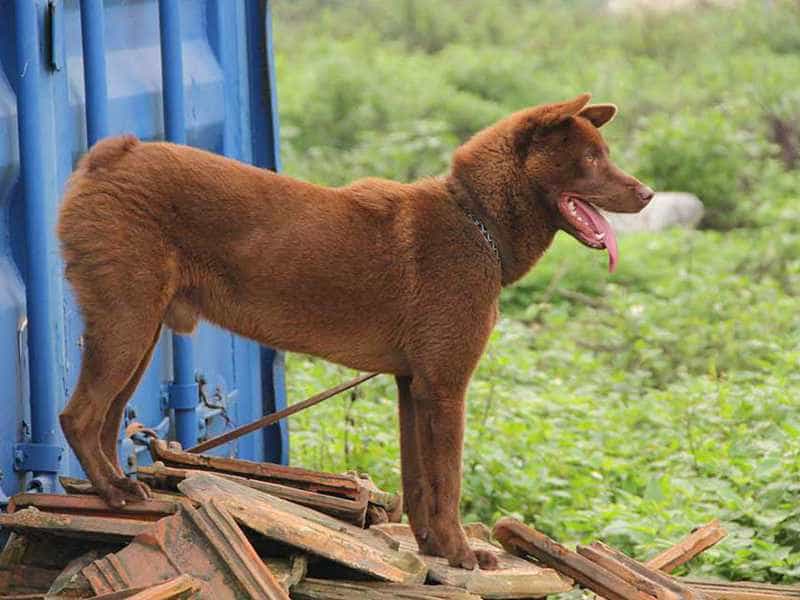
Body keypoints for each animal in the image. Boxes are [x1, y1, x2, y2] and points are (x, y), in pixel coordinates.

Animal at [57, 93, 653, 570]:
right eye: (591, 159)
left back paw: (116, 486)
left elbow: (419, 485)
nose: (647, 193)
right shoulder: (445, 389)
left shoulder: (413, 387)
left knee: (107, 421)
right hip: (127, 325)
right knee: (78, 417)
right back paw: (113, 492)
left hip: (138, 335)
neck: (475, 220)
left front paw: (434, 550)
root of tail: (115, 154)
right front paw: (463, 555)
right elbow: (449, 484)